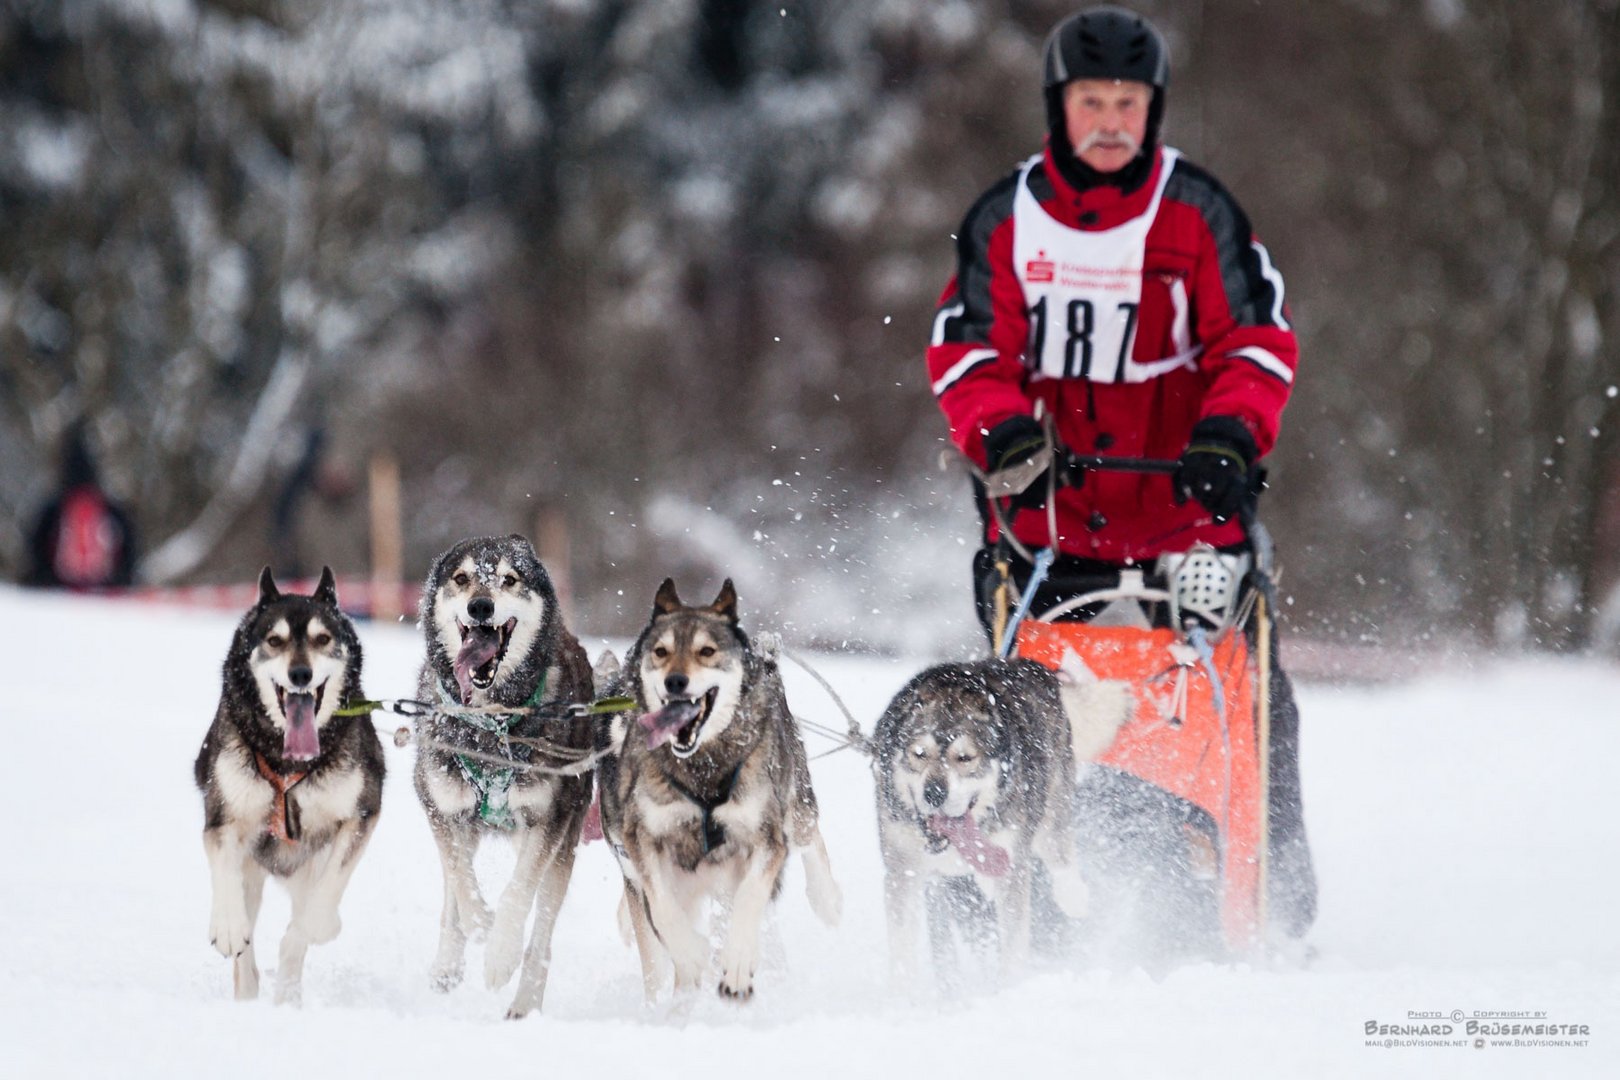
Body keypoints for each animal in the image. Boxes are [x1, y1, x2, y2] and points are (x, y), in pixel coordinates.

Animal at [194, 566, 383, 1003]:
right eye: (274, 641)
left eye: (323, 639)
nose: (300, 674)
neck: (287, 761)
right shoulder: (224, 818)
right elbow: (224, 872)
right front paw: (227, 927)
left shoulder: (361, 813)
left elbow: (321, 904)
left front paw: (319, 927)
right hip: (252, 868)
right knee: (246, 949)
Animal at [411, 537, 596, 1016]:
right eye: (461, 578)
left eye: (510, 579)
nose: (481, 606)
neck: (491, 722)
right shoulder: (441, 806)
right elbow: (460, 882)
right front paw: (481, 926)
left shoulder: (547, 821)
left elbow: (519, 891)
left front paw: (500, 952)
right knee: (452, 895)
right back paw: (448, 962)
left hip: (565, 841)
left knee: (543, 927)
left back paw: (525, 999)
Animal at [599, 582, 848, 1003]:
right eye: (661, 652)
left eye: (707, 651)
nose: (675, 682)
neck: (701, 769)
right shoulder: (643, 849)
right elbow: (663, 916)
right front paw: (686, 968)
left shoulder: (764, 838)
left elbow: (748, 899)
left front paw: (736, 963)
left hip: (794, 806)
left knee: (808, 835)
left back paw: (825, 899)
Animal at [874, 654, 1127, 984]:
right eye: (919, 753)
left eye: (965, 758)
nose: (934, 793)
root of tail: (1031, 665)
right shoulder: (903, 872)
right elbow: (903, 954)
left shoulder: (1012, 870)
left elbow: (1013, 950)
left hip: (1052, 810)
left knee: (1060, 854)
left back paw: (1073, 895)